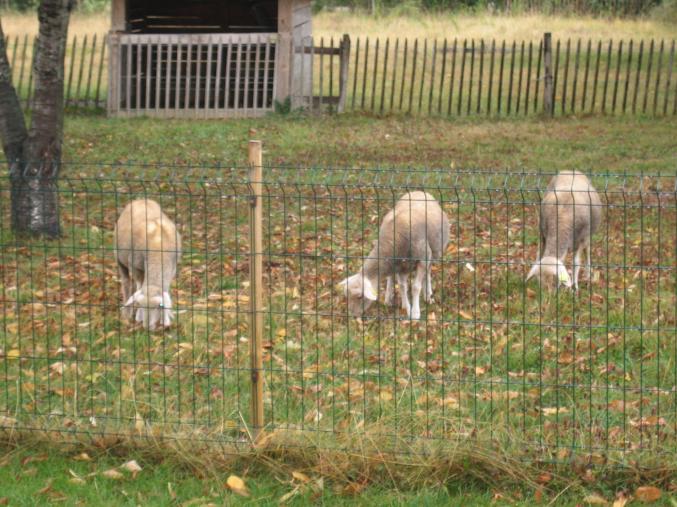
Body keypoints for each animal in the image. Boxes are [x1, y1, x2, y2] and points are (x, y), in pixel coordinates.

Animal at [114, 199, 182, 330]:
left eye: (159, 306)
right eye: (141, 304)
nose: (147, 327)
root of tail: (141, 199)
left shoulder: (172, 269)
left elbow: (165, 290)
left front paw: (165, 319)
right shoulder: (135, 266)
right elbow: (139, 287)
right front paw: (138, 316)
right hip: (120, 259)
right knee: (126, 283)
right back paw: (127, 312)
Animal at [339, 191, 450, 320]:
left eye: (359, 297)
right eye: (346, 295)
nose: (353, 315)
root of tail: (419, 191)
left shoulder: (423, 257)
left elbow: (416, 287)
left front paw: (415, 313)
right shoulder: (400, 266)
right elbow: (402, 286)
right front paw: (406, 307)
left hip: (434, 252)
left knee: (427, 272)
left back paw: (428, 295)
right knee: (391, 277)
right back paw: (388, 298)